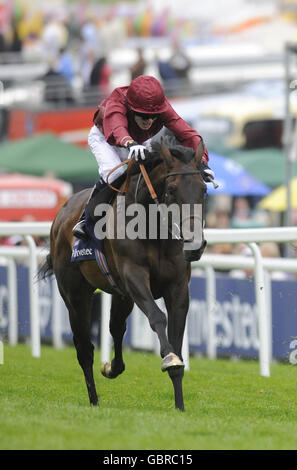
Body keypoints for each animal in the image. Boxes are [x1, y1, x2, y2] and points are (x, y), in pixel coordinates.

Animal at [38, 136, 206, 412]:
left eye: (203, 189)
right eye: (171, 190)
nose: (195, 245)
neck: (153, 228)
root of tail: (61, 214)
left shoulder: (178, 287)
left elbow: (176, 339)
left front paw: (180, 405)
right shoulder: (134, 276)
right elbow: (157, 317)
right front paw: (168, 359)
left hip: (121, 294)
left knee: (115, 327)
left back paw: (112, 368)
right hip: (75, 295)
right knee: (84, 348)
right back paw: (94, 400)